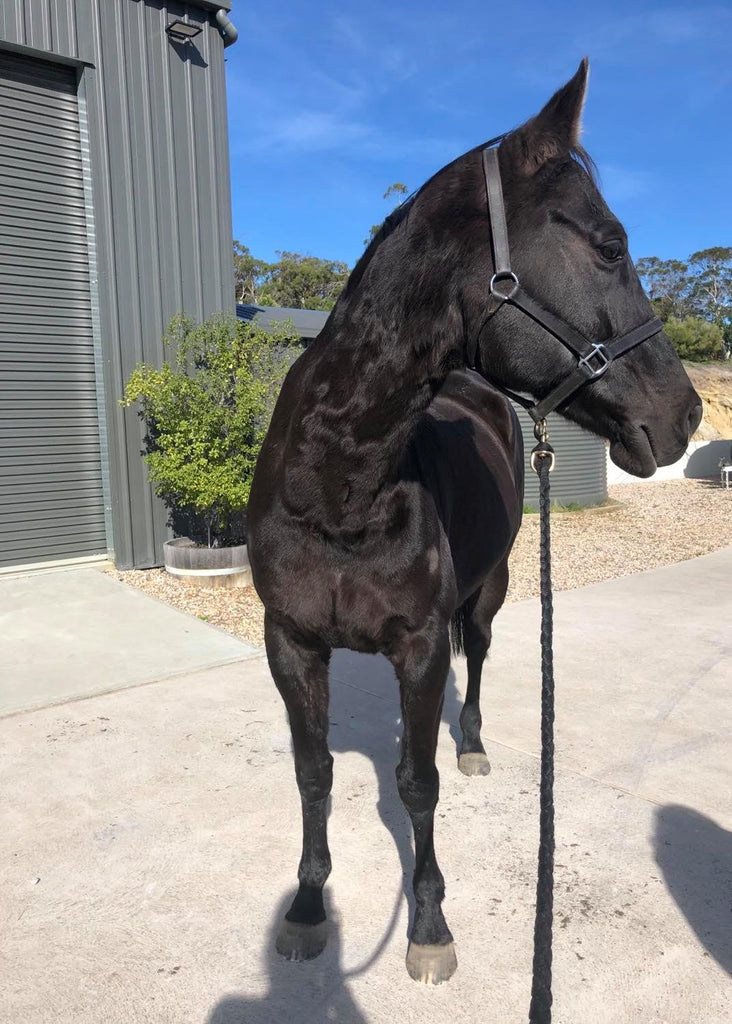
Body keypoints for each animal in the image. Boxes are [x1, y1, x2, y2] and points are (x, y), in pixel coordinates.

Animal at [247, 59, 704, 987]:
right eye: (609, 244)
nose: (686, 415)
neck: (340, 489)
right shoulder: (291, 643)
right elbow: (314, 776)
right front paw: (308, 908)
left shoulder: (422, 647)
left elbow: (417, 782)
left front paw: (428, 925)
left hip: (490, 594)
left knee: (483, 660)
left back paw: (474, 742)